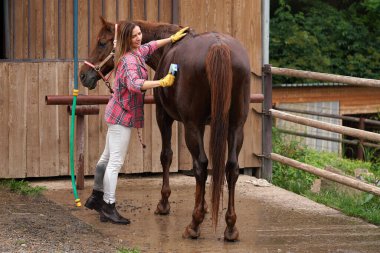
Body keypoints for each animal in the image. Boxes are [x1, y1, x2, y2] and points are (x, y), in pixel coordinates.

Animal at [79, 17, 251, 241]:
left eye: (101, 42)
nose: (83, 75)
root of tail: (219, 46)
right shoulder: (207, 125)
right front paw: (204, 206)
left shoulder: (165, 117)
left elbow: (166, 156)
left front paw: (164, 204)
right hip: (236, 126)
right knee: (231, 167)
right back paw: (230, 226)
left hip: (193, 126)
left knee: (201, 165)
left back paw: (194, 225)